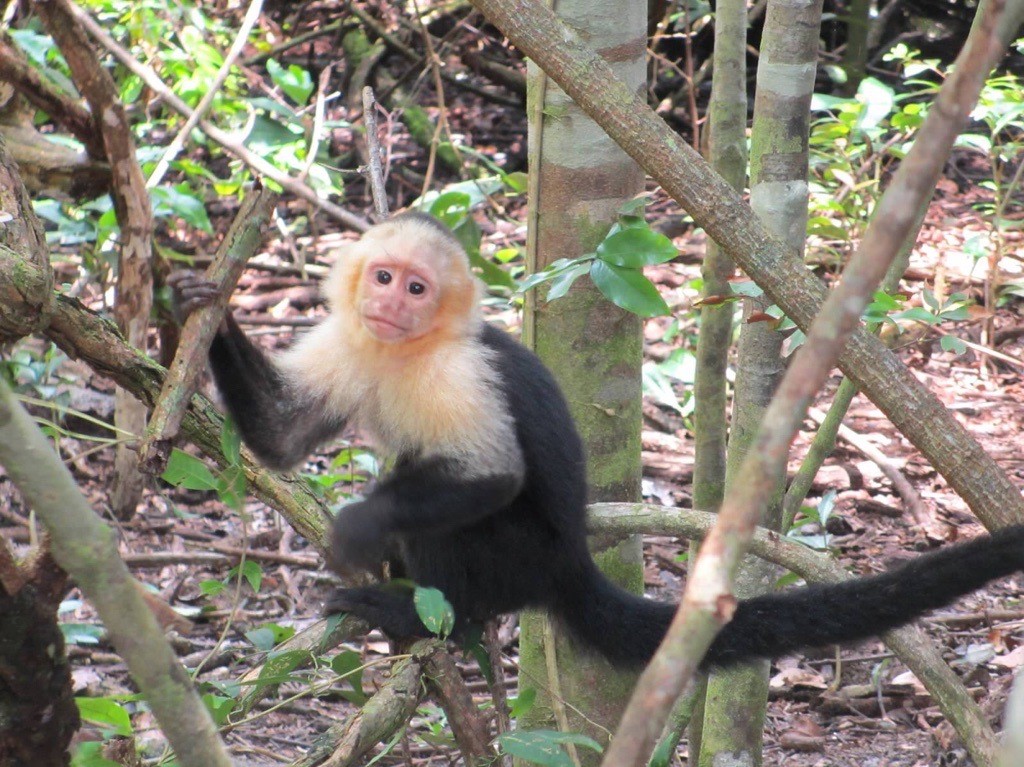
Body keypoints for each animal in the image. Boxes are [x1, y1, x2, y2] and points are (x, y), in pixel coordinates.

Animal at [172, 211, 1024, 667]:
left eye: (419, 288)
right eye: (383, 278)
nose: (392, 304)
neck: (407, 350)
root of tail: (570, 563)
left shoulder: (459, 369)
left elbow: (494, 476)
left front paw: (358, 523)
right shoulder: (352, 340)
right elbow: (282, 434)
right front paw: (196, 302)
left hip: (522, 558)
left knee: (465, 520)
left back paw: (433, 614)